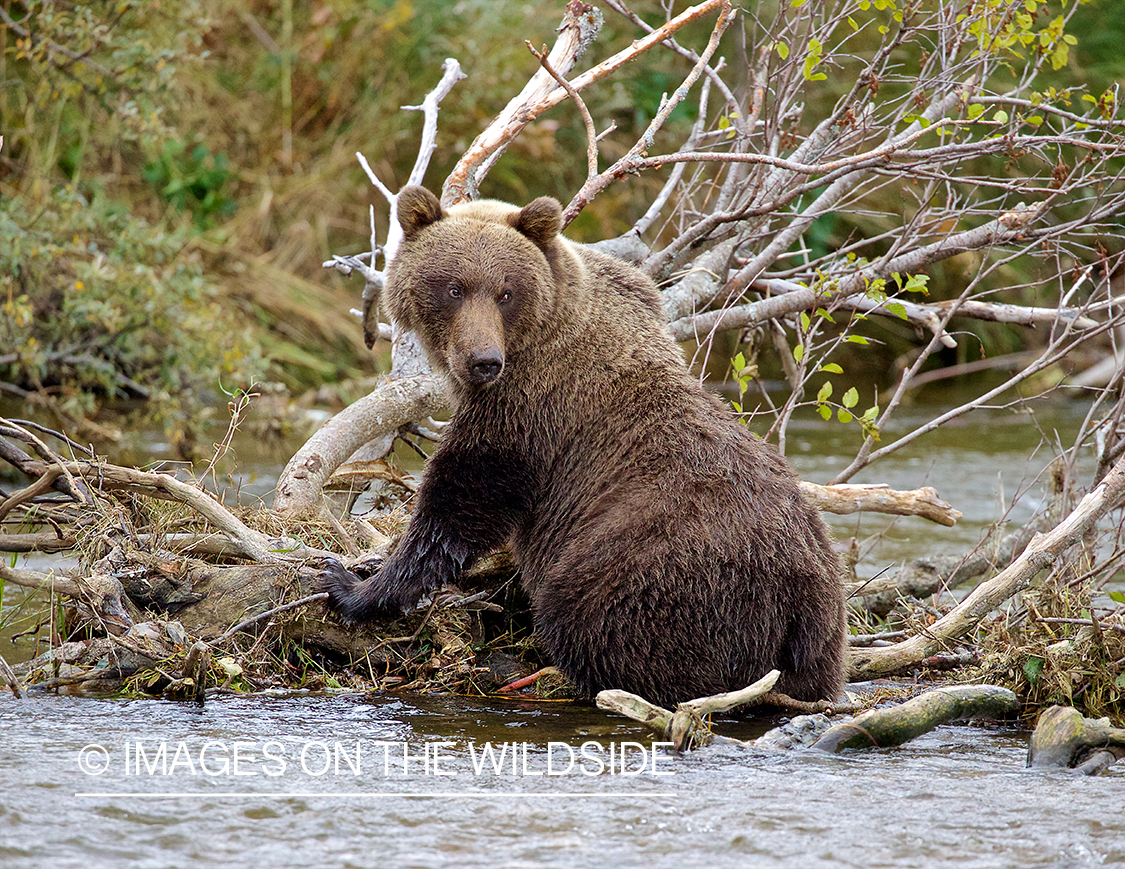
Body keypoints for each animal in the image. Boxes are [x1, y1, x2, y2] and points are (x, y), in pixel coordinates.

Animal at [319, 186, 846, 711]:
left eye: (505, 292)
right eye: (453, 288)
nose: (483, 360)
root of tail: (797, 601)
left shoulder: (532, 405)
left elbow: (468, 495)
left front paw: (352, 585)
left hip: (652, 570)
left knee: (602, 627)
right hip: (818, 628)